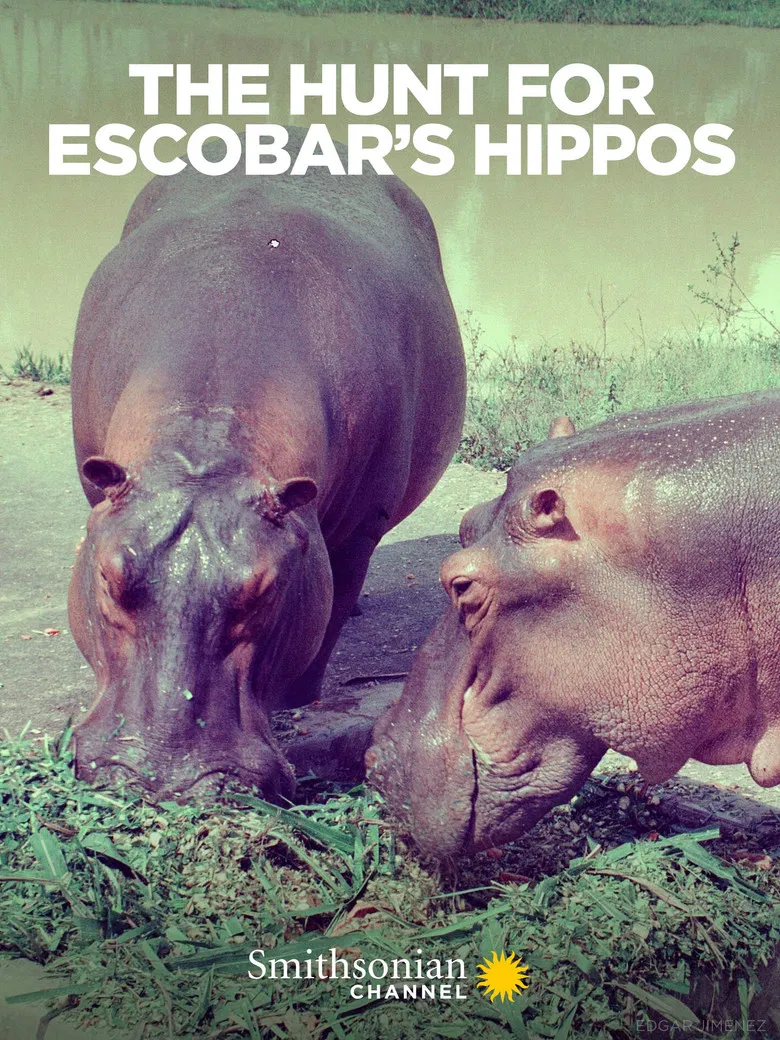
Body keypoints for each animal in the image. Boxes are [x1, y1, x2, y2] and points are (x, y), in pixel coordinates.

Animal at [68, 128, 465, 799]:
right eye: (109, 574)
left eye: (266, 590)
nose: (163, 777)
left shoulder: (356, 529)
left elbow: (329, 613)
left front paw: (298, 704)